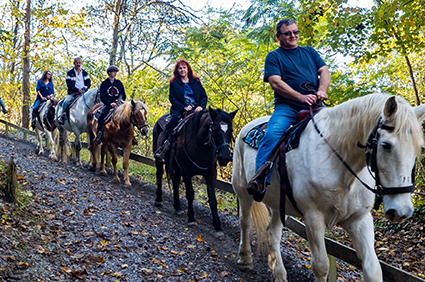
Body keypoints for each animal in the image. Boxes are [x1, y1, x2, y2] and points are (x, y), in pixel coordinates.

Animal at [153, 108, 238, 238]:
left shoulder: (211, 174)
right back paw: (159, 199)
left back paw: (177, 207)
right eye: (214, 129)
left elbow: (213, 200)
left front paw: (218, 227)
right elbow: (190, 194)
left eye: (231, 130)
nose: (224, 158)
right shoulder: (187, 172)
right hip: (160, 159)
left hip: (177, 167)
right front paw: (192, 219)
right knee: (159, 174)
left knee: (175, 182)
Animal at [230, 94, 424, 282]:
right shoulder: (313, 217)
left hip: (278, 204)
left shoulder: (359, 219)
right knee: (245, 221)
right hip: (243, 191)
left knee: (273, 233)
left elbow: (373, 270)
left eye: (418, 148)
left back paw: (279, 274)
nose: (401, 211)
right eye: (386, 145)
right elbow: (321, 266)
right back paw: (245, 258)